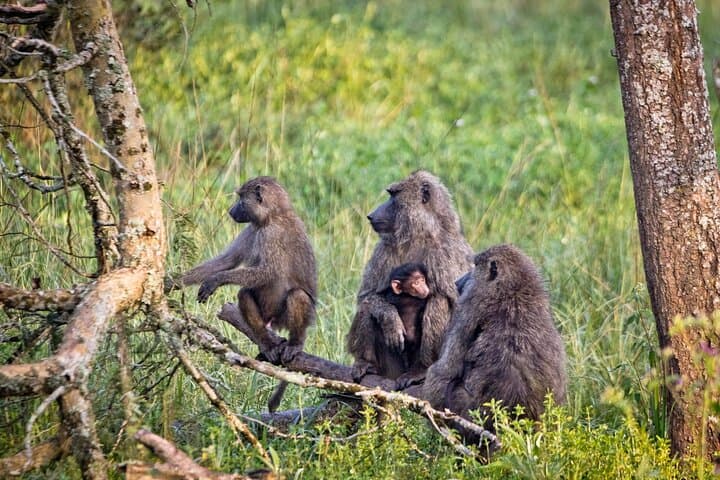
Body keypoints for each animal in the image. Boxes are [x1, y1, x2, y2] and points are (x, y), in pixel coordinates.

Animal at [179, 176, 317, 412]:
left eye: (241, 199)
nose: (231, 211)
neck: (273, 215)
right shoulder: (252, 229)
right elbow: (226, 261)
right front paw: (172, 281)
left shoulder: (271, 235)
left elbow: (266, 272)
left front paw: (216, 280)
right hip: (267, 316)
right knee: (244, 294)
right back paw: (266, 343)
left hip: (290, 317)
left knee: (296, 296)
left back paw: (295, 343)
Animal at [347, 170, 473, 386]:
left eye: (394, 196)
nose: (371, 215)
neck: (419, 234)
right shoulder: (385, 248)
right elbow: (368, 295)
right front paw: (391, 320)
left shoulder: (446, 254)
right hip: (392, 369)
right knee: (367, 307)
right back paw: (366, 362)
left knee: (438, 301)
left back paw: (420, 370)